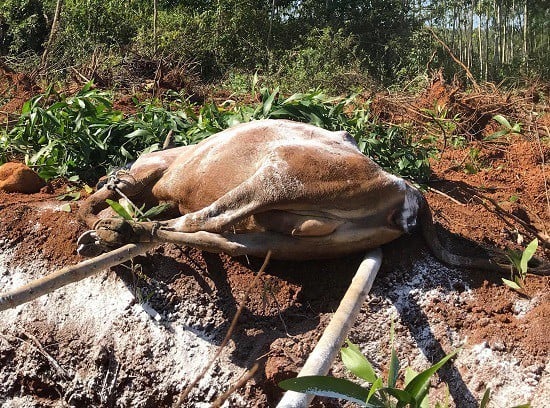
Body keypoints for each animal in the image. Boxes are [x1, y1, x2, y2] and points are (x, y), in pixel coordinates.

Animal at [76, 120, 548, 274]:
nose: (103, 183)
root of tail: (410, 192)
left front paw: (99, 213)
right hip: (287, 241)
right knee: (219, 237)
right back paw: (116, 231)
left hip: (281, 173)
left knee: (202, 221)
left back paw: (115, 228)